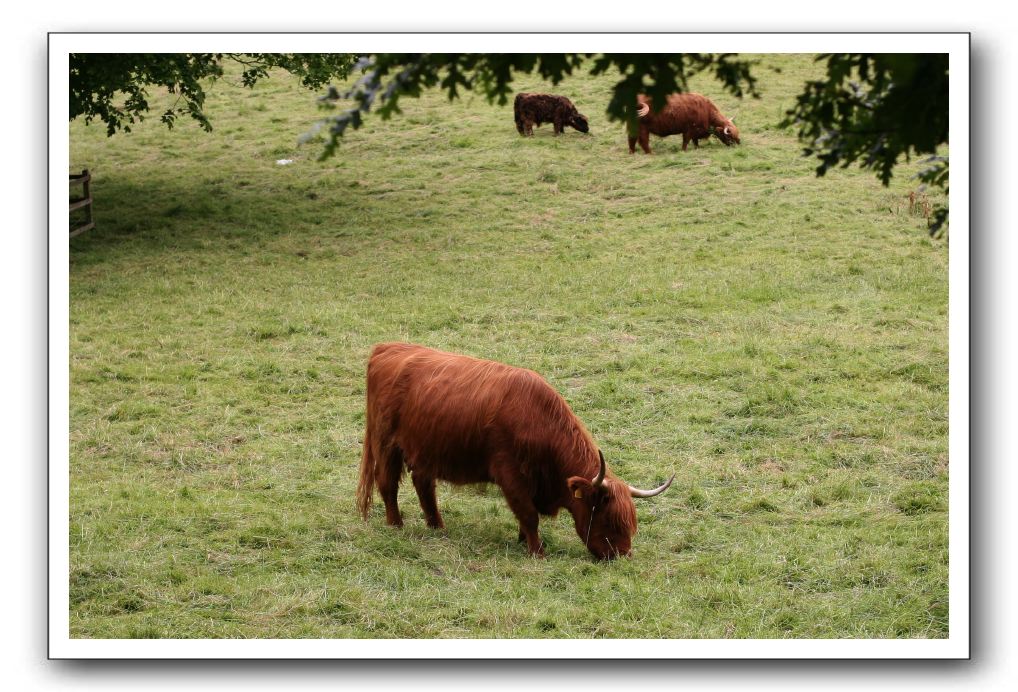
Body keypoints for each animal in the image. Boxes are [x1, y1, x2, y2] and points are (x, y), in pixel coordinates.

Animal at [354, 343, 671, 557]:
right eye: (608, 518)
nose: (622, 555)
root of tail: (388, 348)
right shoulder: (510, 474)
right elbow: (529, 514)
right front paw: (537, 551)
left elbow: (525, 515)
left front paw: (522, 540)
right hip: (386, 444)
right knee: (388, 483)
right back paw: (396, 525)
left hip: (426, 450)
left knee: (424, 485)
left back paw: (437, 526)